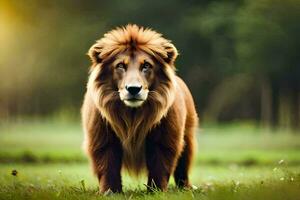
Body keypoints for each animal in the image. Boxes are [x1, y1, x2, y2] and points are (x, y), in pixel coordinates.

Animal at [82, 24, 198, 193]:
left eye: (146, 66)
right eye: (120, 66)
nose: (133, 89)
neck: (132, 115)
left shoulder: (165, 138)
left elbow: (160, 166)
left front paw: (156, 191)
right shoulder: (102, 137)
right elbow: (107, 165)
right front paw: (110, 191)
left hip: (188, 135)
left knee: (183, 166)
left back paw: (186, 188)